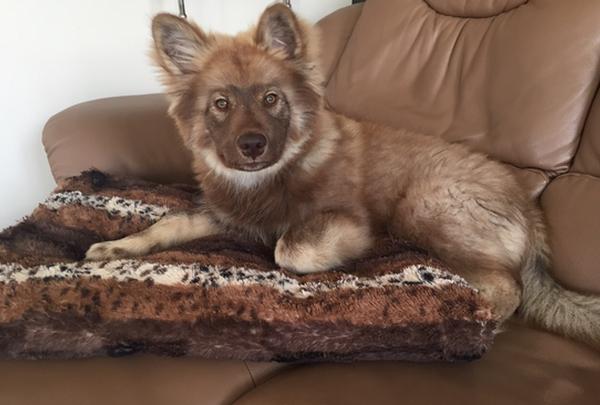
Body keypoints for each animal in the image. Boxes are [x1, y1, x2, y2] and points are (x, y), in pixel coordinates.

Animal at [86, 4, 600, 347]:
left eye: (271, 98)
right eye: (221, 104)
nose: (252, 146)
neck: (276, 175)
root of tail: (530, 210)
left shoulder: (345, 219)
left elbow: (289, 247)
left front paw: (338, 259)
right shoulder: (226, 216)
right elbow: (167, 224)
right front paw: (117, 247)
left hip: (425, 207)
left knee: (508, 287)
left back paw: (475, 319)